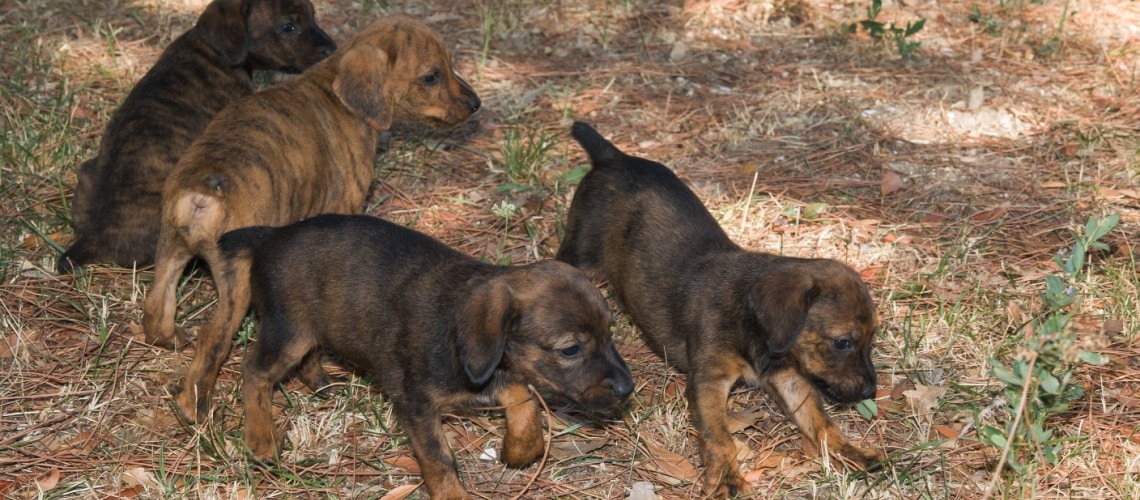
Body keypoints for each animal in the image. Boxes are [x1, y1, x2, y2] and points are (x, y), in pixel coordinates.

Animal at [57, 0, 332, 274]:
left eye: (313, 14)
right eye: (288, 26)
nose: (332, 49)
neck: (211, 50)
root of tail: (92, 240)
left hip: (87, 171)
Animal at [142, 14, 481, 425]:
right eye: (431, 76)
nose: (476, 104)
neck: (335, 91)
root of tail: (202, 192)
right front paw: (316, 376)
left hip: (169, 252)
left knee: (156, 311)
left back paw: (172, 342)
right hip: (235, 283)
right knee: (212, 338)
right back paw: (197, 407)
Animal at [217, 215, 638, 500]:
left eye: (610, 332)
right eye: (570, 349)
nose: (627, 390)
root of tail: (273, 234)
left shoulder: (495, 376)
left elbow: (525, 401)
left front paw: (520, 450)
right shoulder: (416, 404)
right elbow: (439, 459)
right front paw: (453, 494)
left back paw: (319, 381)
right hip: (288, 331)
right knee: (254, 371)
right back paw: (260, 438)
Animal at [556, 121, 884, 496]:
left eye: (871, 340)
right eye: (842, 342)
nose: (870, 391)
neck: (750, 323)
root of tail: (613, 156)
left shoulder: (789, 378)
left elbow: (821, 422)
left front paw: (851, 453)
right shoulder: (709, 381)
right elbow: (719, 436)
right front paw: (726, 477)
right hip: (580, 253)